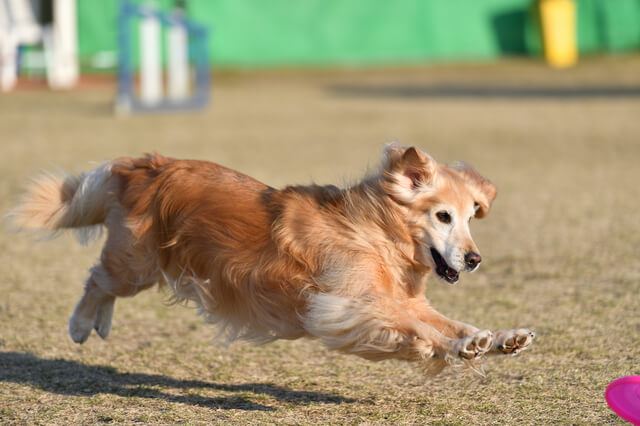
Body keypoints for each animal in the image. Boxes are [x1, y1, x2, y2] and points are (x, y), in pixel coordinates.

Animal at [10, 145, 536, 372]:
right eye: (443, 216)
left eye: (472, 215)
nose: (474, 259)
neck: (375, 234)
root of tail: (146, 165)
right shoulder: (343, 306)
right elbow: (419, 328)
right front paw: (453, 348)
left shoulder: (398, 299)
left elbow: (447, 321)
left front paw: (499, 338)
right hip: (136, 262)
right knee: (96, 279)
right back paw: (82, 325)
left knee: (103, 284)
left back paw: (98, 324)